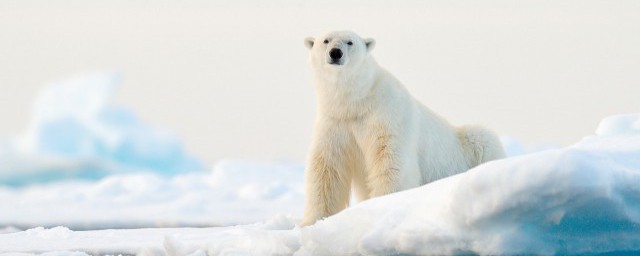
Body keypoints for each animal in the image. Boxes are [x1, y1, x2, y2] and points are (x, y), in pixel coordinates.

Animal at [300, 30, 504, 226]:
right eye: (326, 40)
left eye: (350, 42)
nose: (335, 53)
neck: (357, 102)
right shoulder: (335, 122)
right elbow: (327, 168)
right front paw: (311, 221)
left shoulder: (387, 114)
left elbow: (390, 159)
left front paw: (383, 204)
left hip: (470, 145)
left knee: (483, 139)